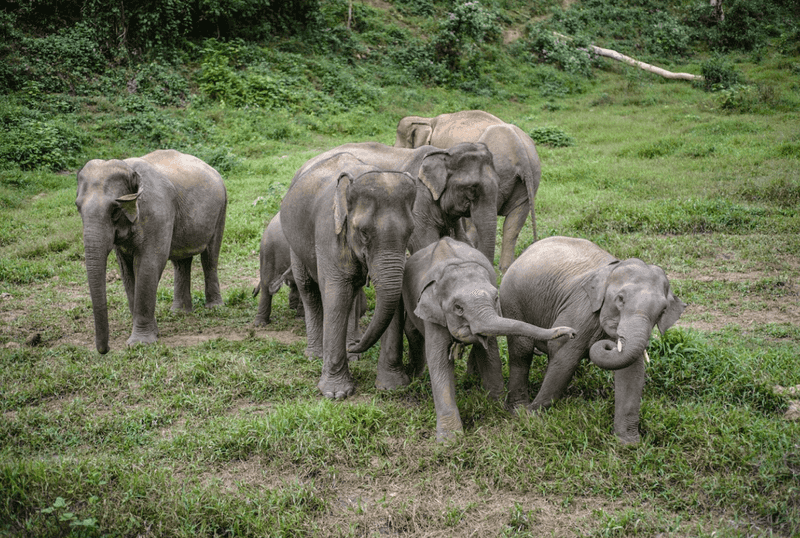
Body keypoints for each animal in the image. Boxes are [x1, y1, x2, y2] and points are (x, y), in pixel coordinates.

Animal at [75, 149, 227, 354]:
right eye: (78, 207)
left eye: (115, 210)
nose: (105, 350)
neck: (129, 168)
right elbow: (126, 270)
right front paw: (152, 334)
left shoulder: (158, 214)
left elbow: (149, 264)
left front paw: (140, 343)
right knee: (181, 262)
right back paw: (179, 312)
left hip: (221, 209)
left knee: (210, 257)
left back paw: (214, 308)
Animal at [281, 152, 418, 399]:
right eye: (364, 233)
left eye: (410, 231)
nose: (356, 346)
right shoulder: (329, 233)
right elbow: (336, 295)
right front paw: (336, 394)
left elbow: (393, 299)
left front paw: (392, 387)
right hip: (294, 240)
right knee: (308, 288)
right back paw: (315, 355)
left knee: (353, 293)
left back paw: (351, 352)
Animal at [400, 237, 576, 441]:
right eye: (458, 308)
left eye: (496, 298)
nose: (572, 332)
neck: (454, 265)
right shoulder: (433, 316)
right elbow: (439, 362)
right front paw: (450, 440)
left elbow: (490, 353)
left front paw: (498, 410)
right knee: (413, 332)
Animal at [499, 236, 686, 444]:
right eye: (620, 299)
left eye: (663, 310)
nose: (611, 342)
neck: (611, 270)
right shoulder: (581, 311)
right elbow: (564, 358)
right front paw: (531, 416)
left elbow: (632, 373)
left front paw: (628, 444)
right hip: (512, 299)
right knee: (521, 350)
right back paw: (517, 409)